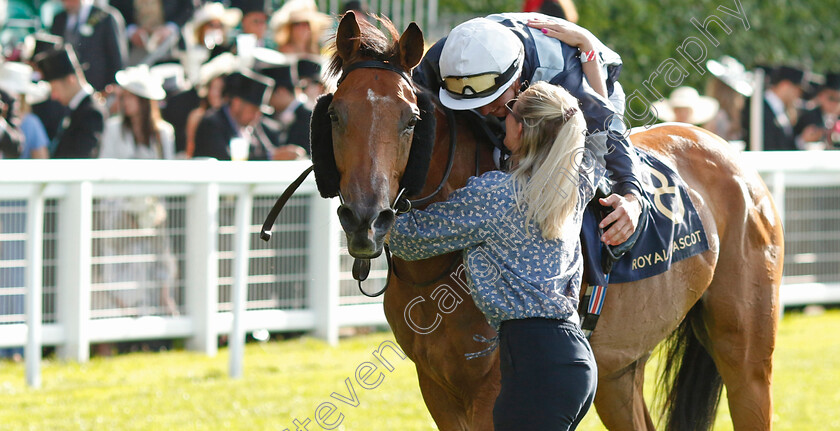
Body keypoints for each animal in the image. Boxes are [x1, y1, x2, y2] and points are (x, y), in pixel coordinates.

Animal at [312, 11, 784, 430]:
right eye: (335, 114)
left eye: (411, 121)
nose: (366, 219)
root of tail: (726, 152)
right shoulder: (436, 385)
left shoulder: (492, 391)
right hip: (618, 371)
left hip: (745, 356)